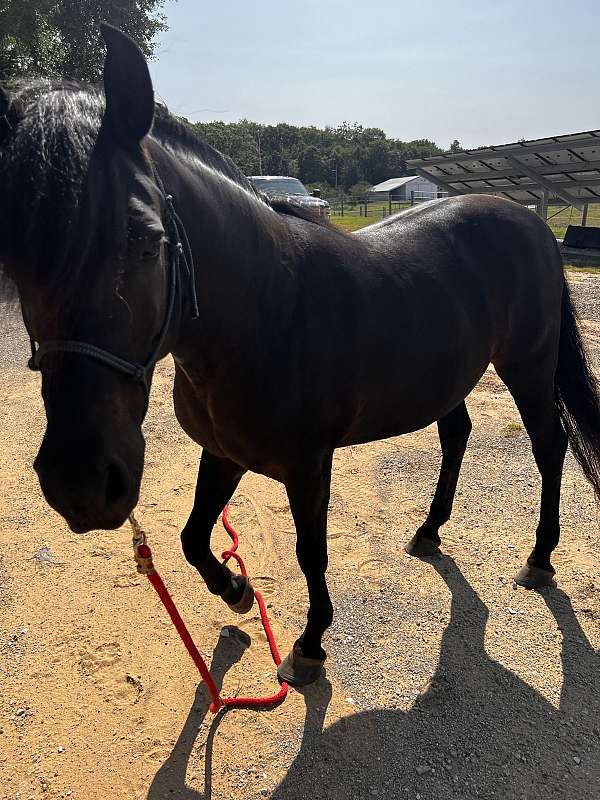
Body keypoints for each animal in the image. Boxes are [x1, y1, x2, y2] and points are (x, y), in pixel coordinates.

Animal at [1, 26, 600, 688]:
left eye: (148, 242)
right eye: (15, 256)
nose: (79, 485)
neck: (264, 311)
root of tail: (531, 224)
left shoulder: (309, 466)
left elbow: (310, 552)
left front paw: (309, 646)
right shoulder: (223, 452)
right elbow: (193, 536)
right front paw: (237, 591)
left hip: (527, 366)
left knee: (549, 446)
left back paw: (539, 559)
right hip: (447, 377)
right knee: (457, 435)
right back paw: (428, 532)